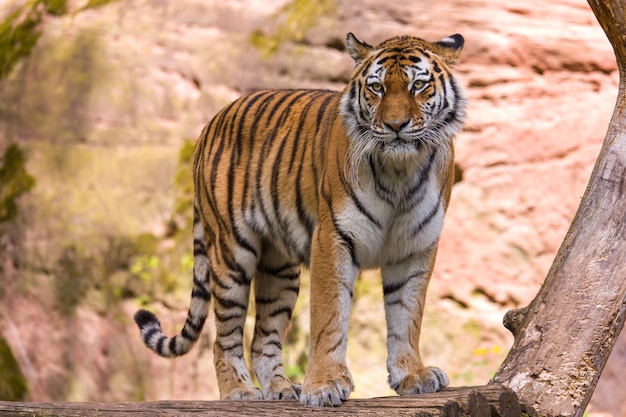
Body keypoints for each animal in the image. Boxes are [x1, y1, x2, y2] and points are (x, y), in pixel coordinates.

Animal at [133, 32, 464, 406]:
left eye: (418, 85)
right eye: (377, 88)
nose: (395, 126)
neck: (400, 171)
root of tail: (209, 125)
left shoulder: (415, 246)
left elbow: (407, 315)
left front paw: (412, 374)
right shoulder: (333, 237)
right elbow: (329, 315)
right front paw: (323, 386)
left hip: (279, 269)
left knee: (262, 339)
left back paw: (280, 388)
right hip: (231, 255)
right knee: (224, 338)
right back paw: (239, 391)